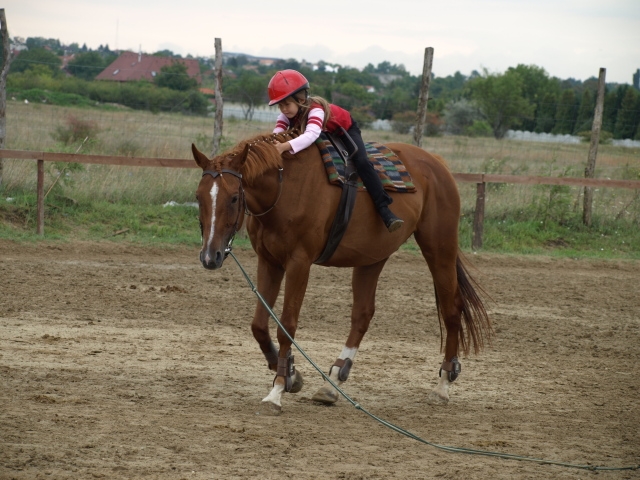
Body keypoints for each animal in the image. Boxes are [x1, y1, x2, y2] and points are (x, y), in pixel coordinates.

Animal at [190, 129, 490, 414]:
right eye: (198, 197)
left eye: (234, 198)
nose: (210, 256)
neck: (285, 188)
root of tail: (437, 164)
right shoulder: (269, 261)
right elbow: (259, 325)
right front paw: (292, 375)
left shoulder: (299, 263)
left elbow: (286, 325)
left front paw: (276, 392)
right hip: (372, 258)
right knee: (362, 315)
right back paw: (332, 382)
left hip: (439, 248)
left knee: (452, 309)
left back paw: (443, 386)